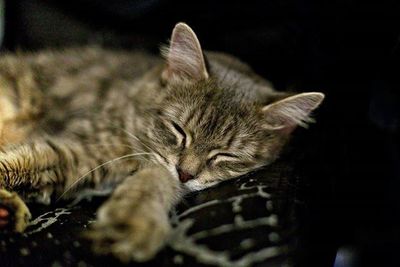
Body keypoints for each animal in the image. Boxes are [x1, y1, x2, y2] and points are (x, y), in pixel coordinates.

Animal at [0, 22, 324, 262]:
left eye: (225, 155)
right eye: (179, 130)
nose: (185, 173)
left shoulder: (86, 158)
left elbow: (154, 184)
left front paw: (132, 221)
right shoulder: (88, 144)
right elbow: (18, 160)